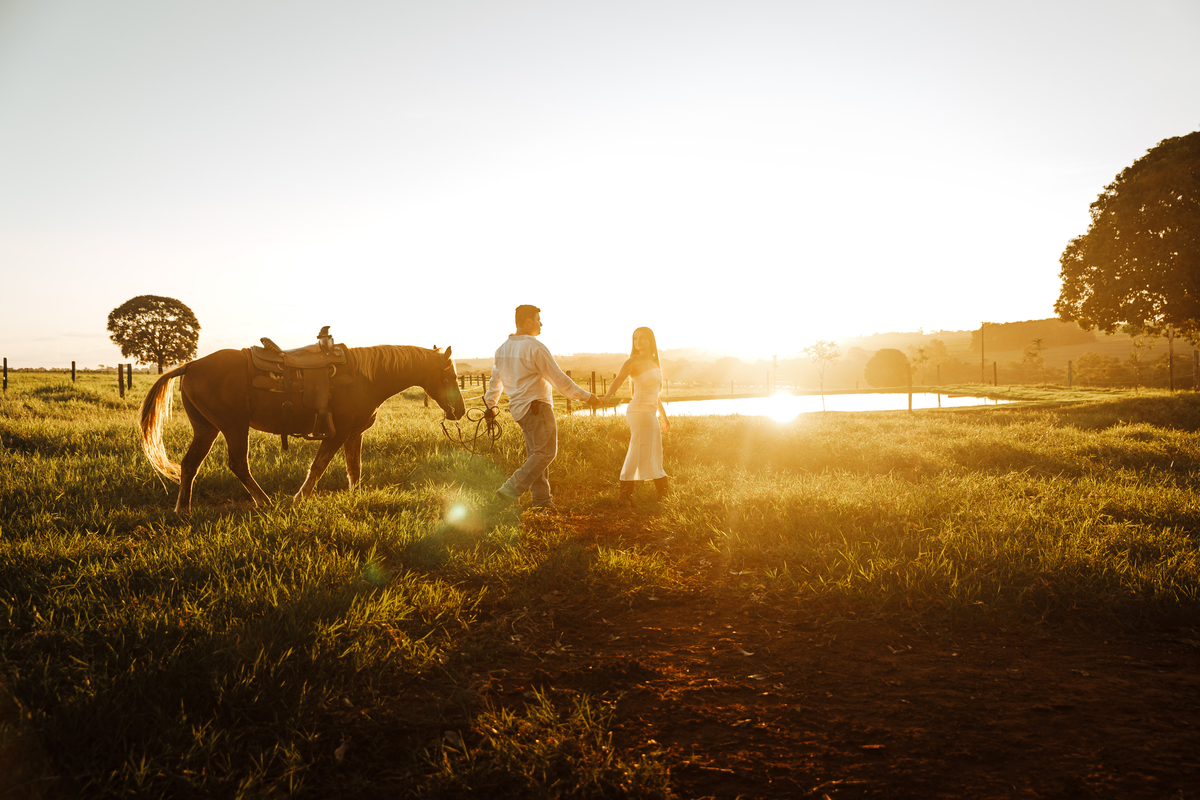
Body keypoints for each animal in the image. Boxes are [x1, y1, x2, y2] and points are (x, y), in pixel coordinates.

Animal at [139, 344, 466, 513]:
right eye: (449, 376)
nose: (460, 411)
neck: (366, 377)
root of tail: (192, 365)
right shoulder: (337, 433)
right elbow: (319, 466)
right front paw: (299, 499)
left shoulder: (354, 433)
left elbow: (354, 468)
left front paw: (356, 497)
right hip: (233, 427)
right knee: (238, 464)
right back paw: (264, 501)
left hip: (206, 429)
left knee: (189, 465)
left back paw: (183, 509)